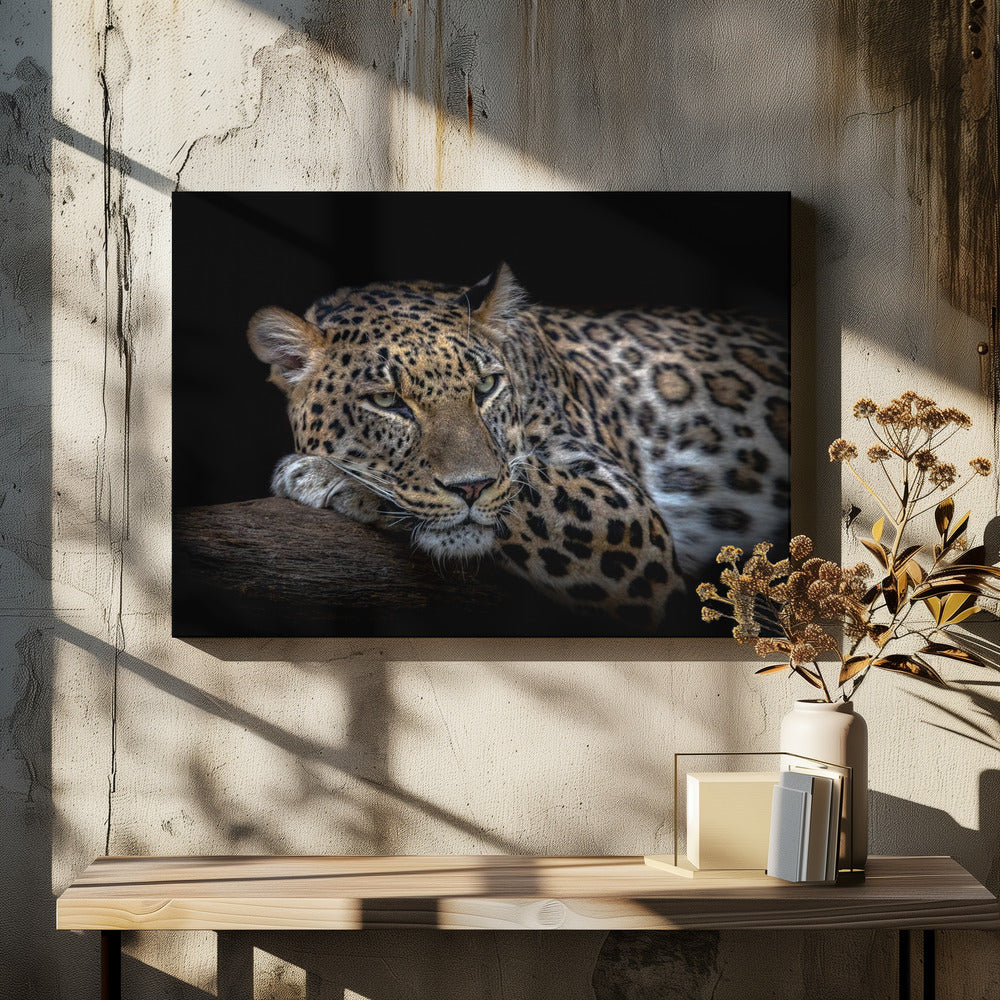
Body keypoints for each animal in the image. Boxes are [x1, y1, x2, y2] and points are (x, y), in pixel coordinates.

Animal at [247, 264, 789, 633]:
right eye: (386, 401)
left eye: (486, 386)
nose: (471, 487)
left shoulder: (626, 512)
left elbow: (524, 486)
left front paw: (326, 475)